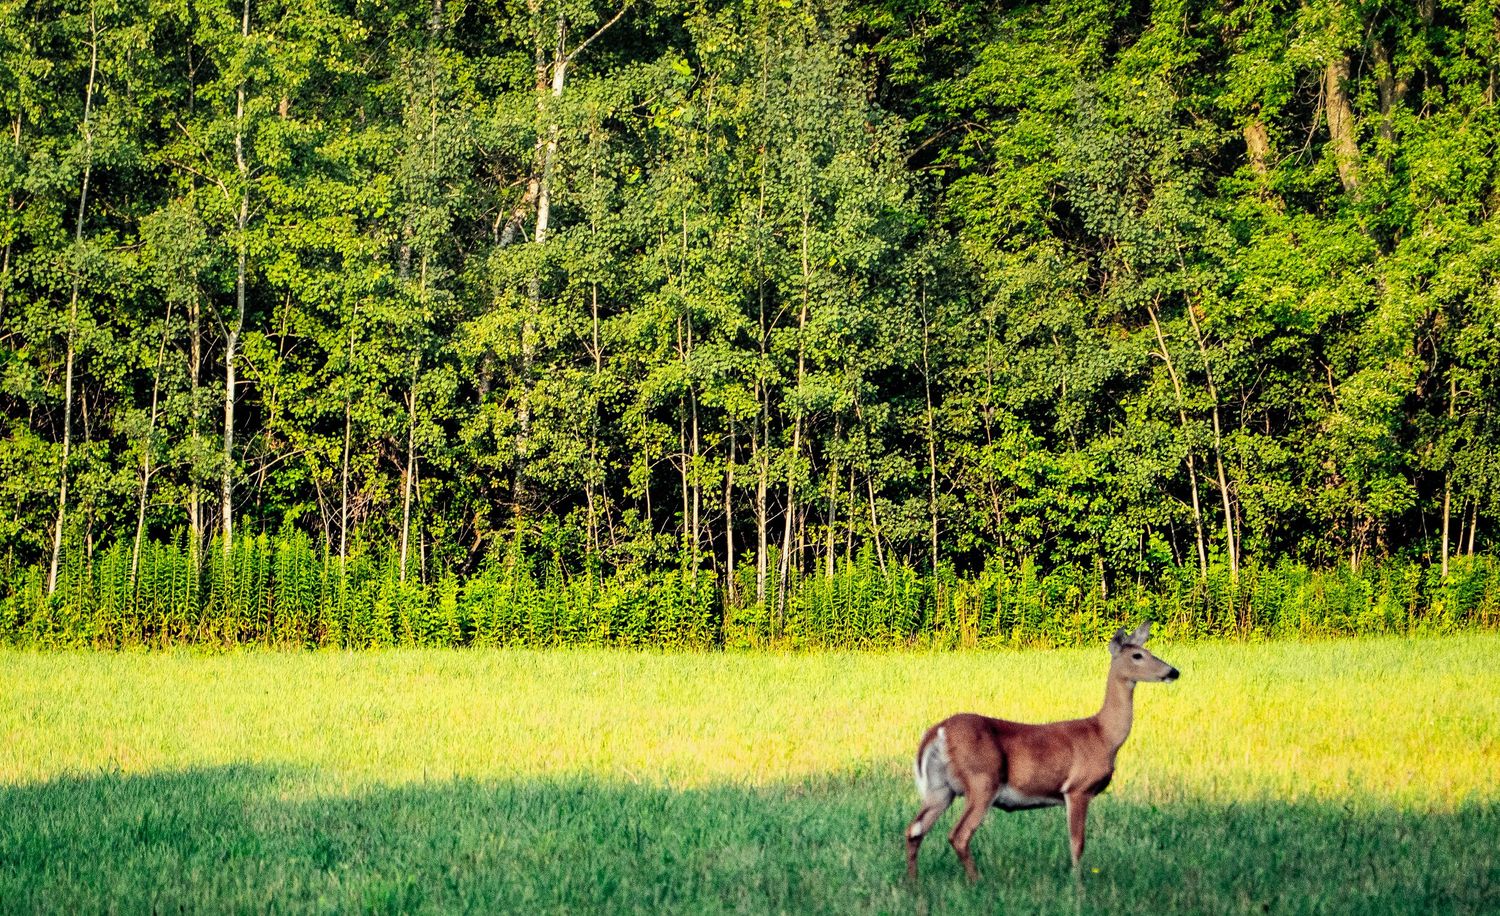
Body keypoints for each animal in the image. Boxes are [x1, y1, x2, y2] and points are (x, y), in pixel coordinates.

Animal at [904, 622, 1179, 881]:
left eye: (1149, 651)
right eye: (1137, 656)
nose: (1173, 672)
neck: (1104, 734)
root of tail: (938, 731)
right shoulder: (1077, 788)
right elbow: (1077, 843)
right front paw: (1077, 884)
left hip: (940, 788)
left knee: (914, 830)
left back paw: (914, 884)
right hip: (982, 780)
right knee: (958, 835)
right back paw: (977, 881)